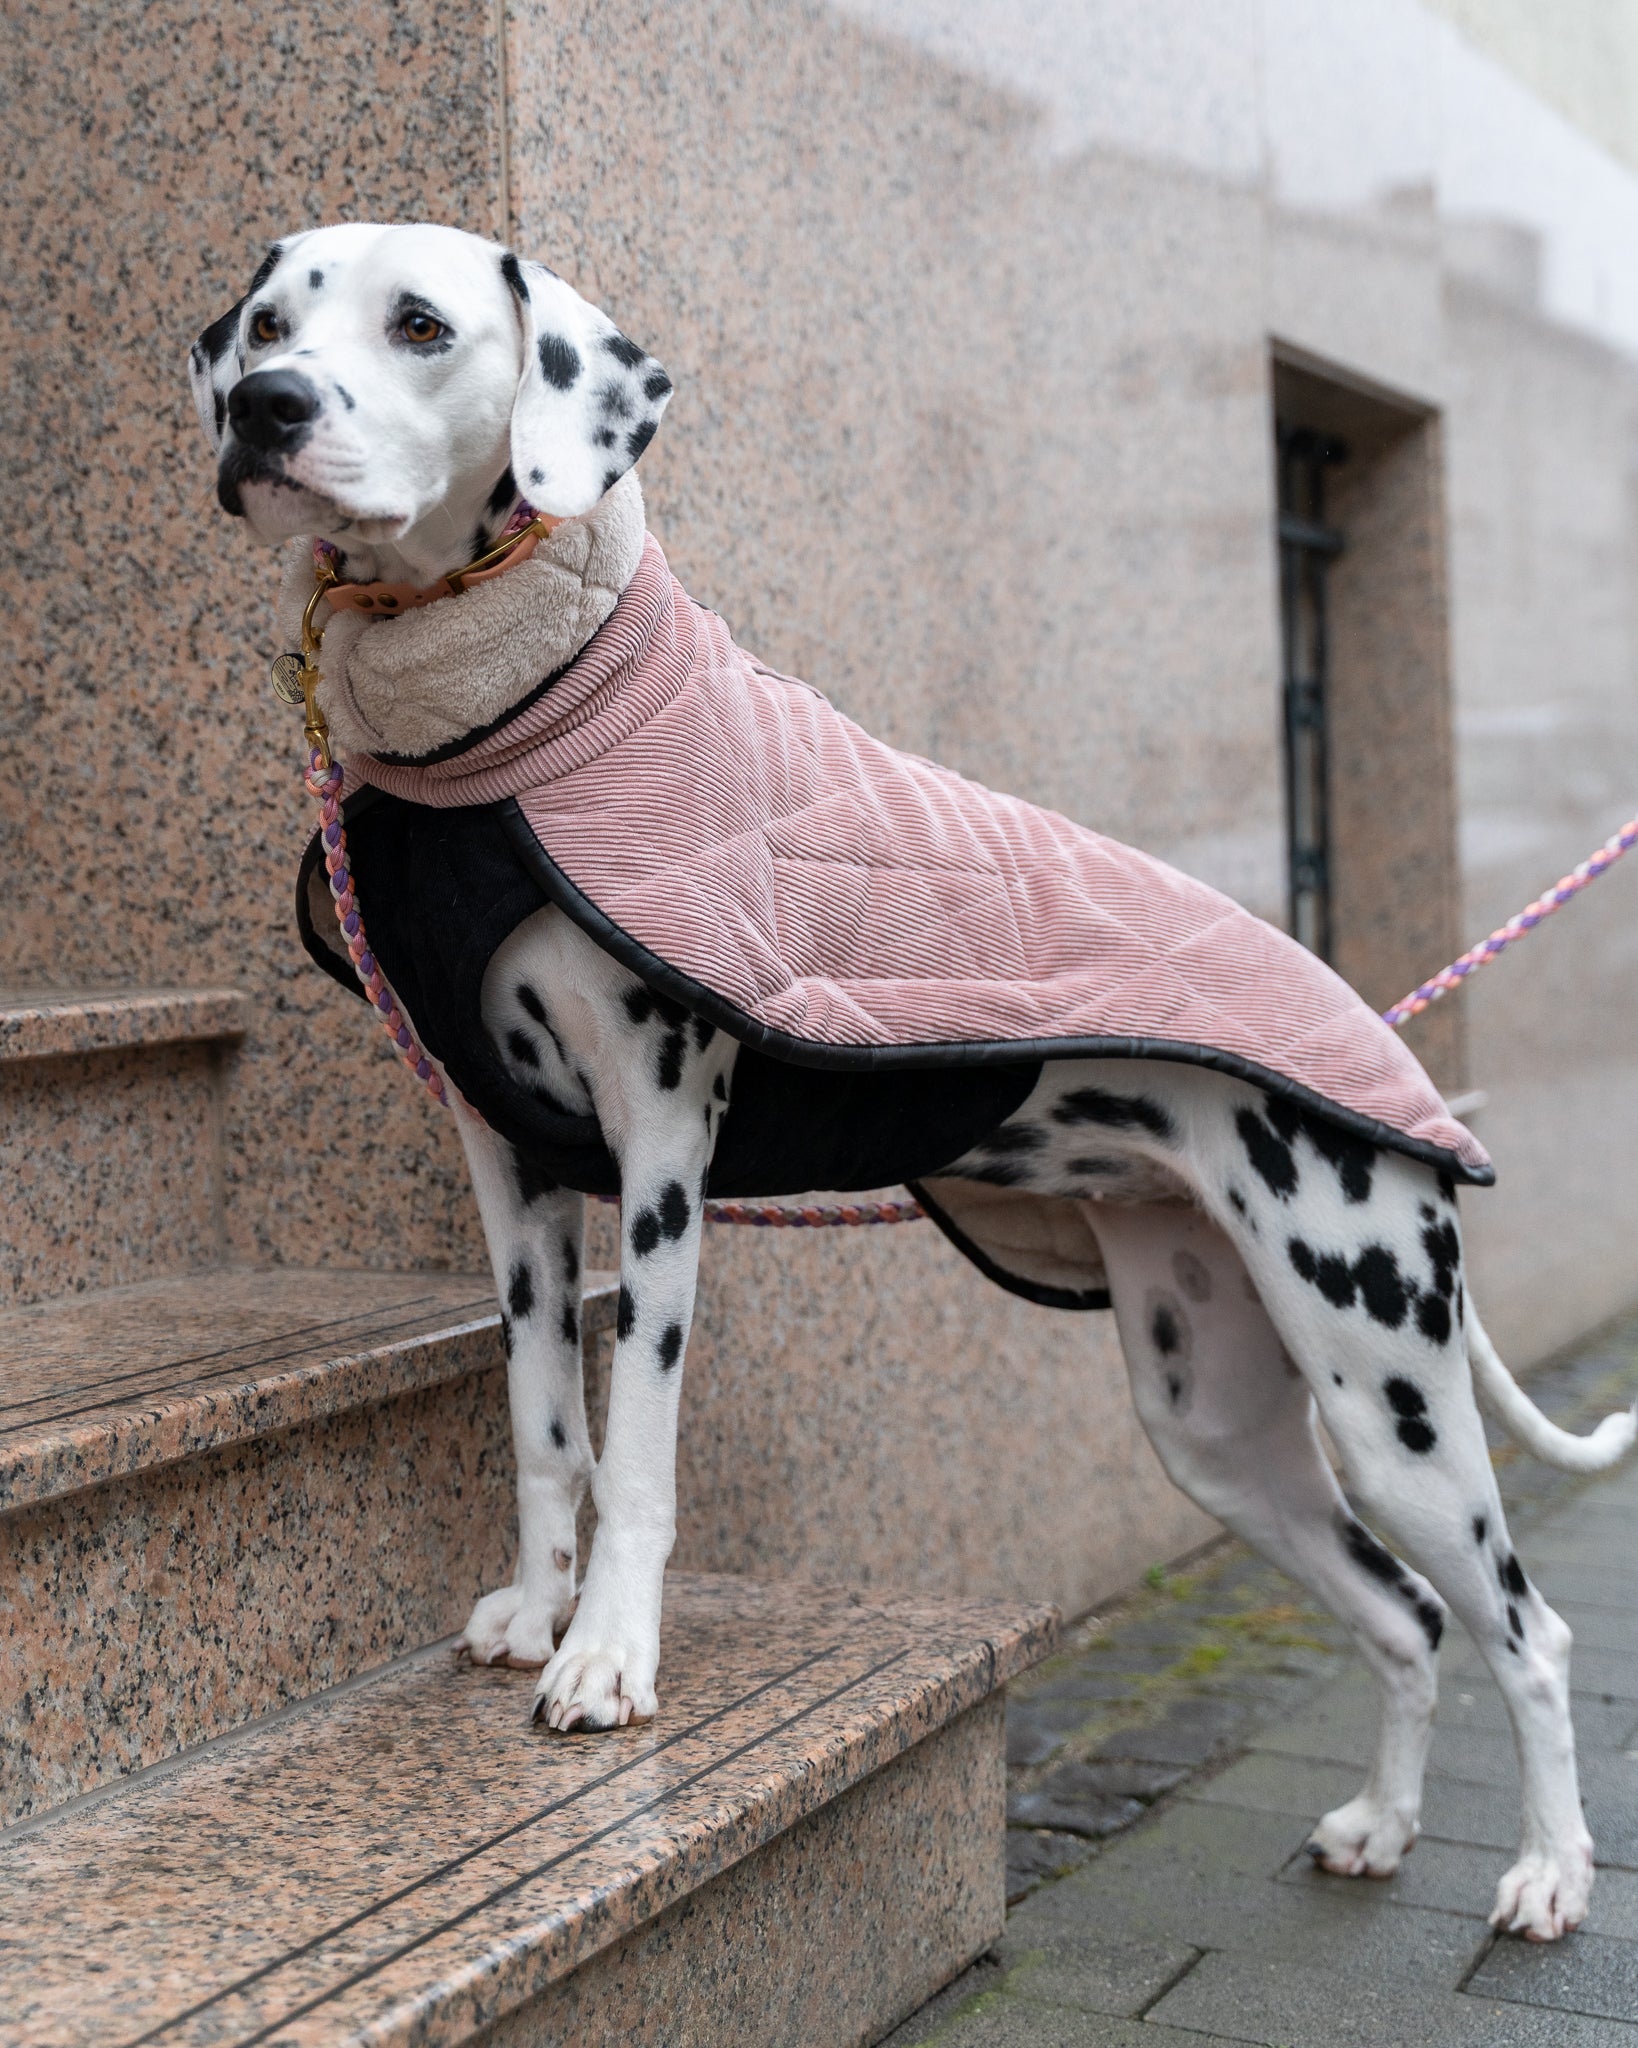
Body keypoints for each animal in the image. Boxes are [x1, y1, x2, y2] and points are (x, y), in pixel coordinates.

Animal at [188, 220, 1638, 1943]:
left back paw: (1545, 1870)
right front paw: (538, 1613)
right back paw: (1378, 1826)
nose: (263, 408)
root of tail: (1402, 1079)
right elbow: (545, 1426)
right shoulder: (512, 1168)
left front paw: (606, 1659)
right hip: (1217, 1421)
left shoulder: (661, 1152)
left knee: (1524, 1631)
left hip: (1384, 1381)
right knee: (1407, 1616)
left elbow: (638, 1453)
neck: (498, 726)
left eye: (418, 324)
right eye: (268, 325)